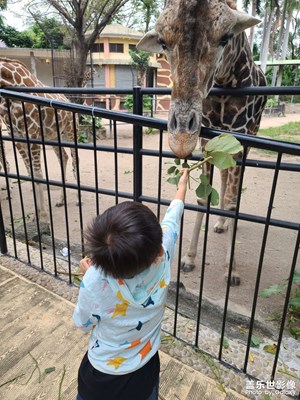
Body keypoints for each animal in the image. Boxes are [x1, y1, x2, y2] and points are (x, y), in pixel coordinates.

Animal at [0, 57, 78, 222]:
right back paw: (61, 200)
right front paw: (36, 213)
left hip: (71, 131)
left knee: (75, 161)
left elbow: (38, 173)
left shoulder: (32, 132)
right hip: (55, 135)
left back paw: (78, 199)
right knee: (63, 157)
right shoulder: (15, 135)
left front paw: (42, 215)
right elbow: (30, 173)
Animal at [137, 0, 266, 288]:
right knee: (224, 178)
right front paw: (189, 258)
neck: (227, 81)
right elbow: (202, 198)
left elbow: (232, 202)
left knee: (231, 192)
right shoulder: (208, 141)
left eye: (225, 37)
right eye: (162, 41)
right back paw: (218, 223)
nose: (182, 138)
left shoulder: (240, 138)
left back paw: (224, 223)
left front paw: (232, 271)